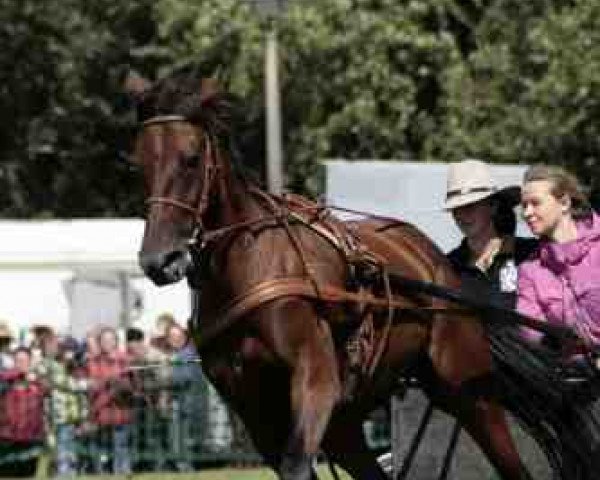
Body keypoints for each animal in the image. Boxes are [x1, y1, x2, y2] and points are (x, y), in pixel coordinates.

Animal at [131, 72, 600, 480]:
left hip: (468, 389)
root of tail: (436, 263)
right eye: (140, 163)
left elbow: (296, 464)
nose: (159, 260)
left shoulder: (315, 375)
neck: (246, 267)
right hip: (349, 420)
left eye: (191, 159)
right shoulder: (252, 407)